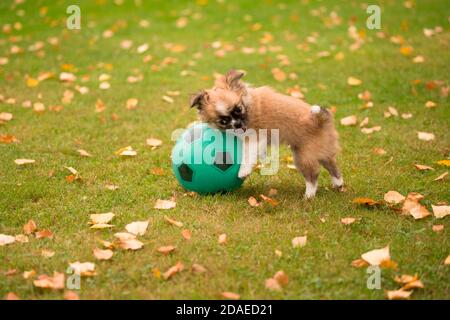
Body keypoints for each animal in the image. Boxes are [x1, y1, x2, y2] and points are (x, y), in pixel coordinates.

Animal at [188, 70, 342, 198]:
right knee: (332, 166)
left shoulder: (254, 136)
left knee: (312, 176)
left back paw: (308, 196)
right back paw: (338, 184)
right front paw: (263, 157)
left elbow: (248, 154)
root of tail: (320, 120)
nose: (238, 125)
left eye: (238, 109)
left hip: (303, 156)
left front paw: (243, 171)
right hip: (321, 150)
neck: (248, 106)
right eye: (223, 121)